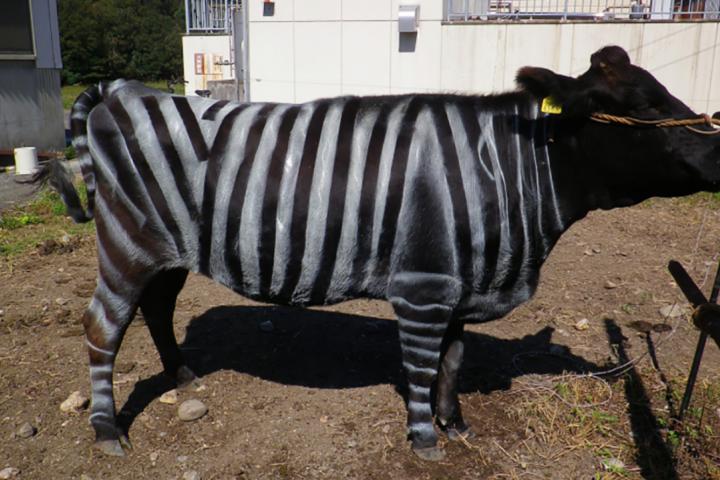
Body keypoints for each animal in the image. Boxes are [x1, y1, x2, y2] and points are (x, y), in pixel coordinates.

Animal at [39, 46, 720, 460]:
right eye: (639, 108)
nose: (717, 147)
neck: (505, 170)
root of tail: (124, 91)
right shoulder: (422, 287)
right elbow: (421, 367)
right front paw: (425, 441)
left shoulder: (457, 283)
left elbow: (453, 361)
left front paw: (456, 424)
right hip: (127, 244)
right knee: (102, 328)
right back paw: (107, 433)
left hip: (169, 250)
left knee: (155, 309)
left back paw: (182, 375)